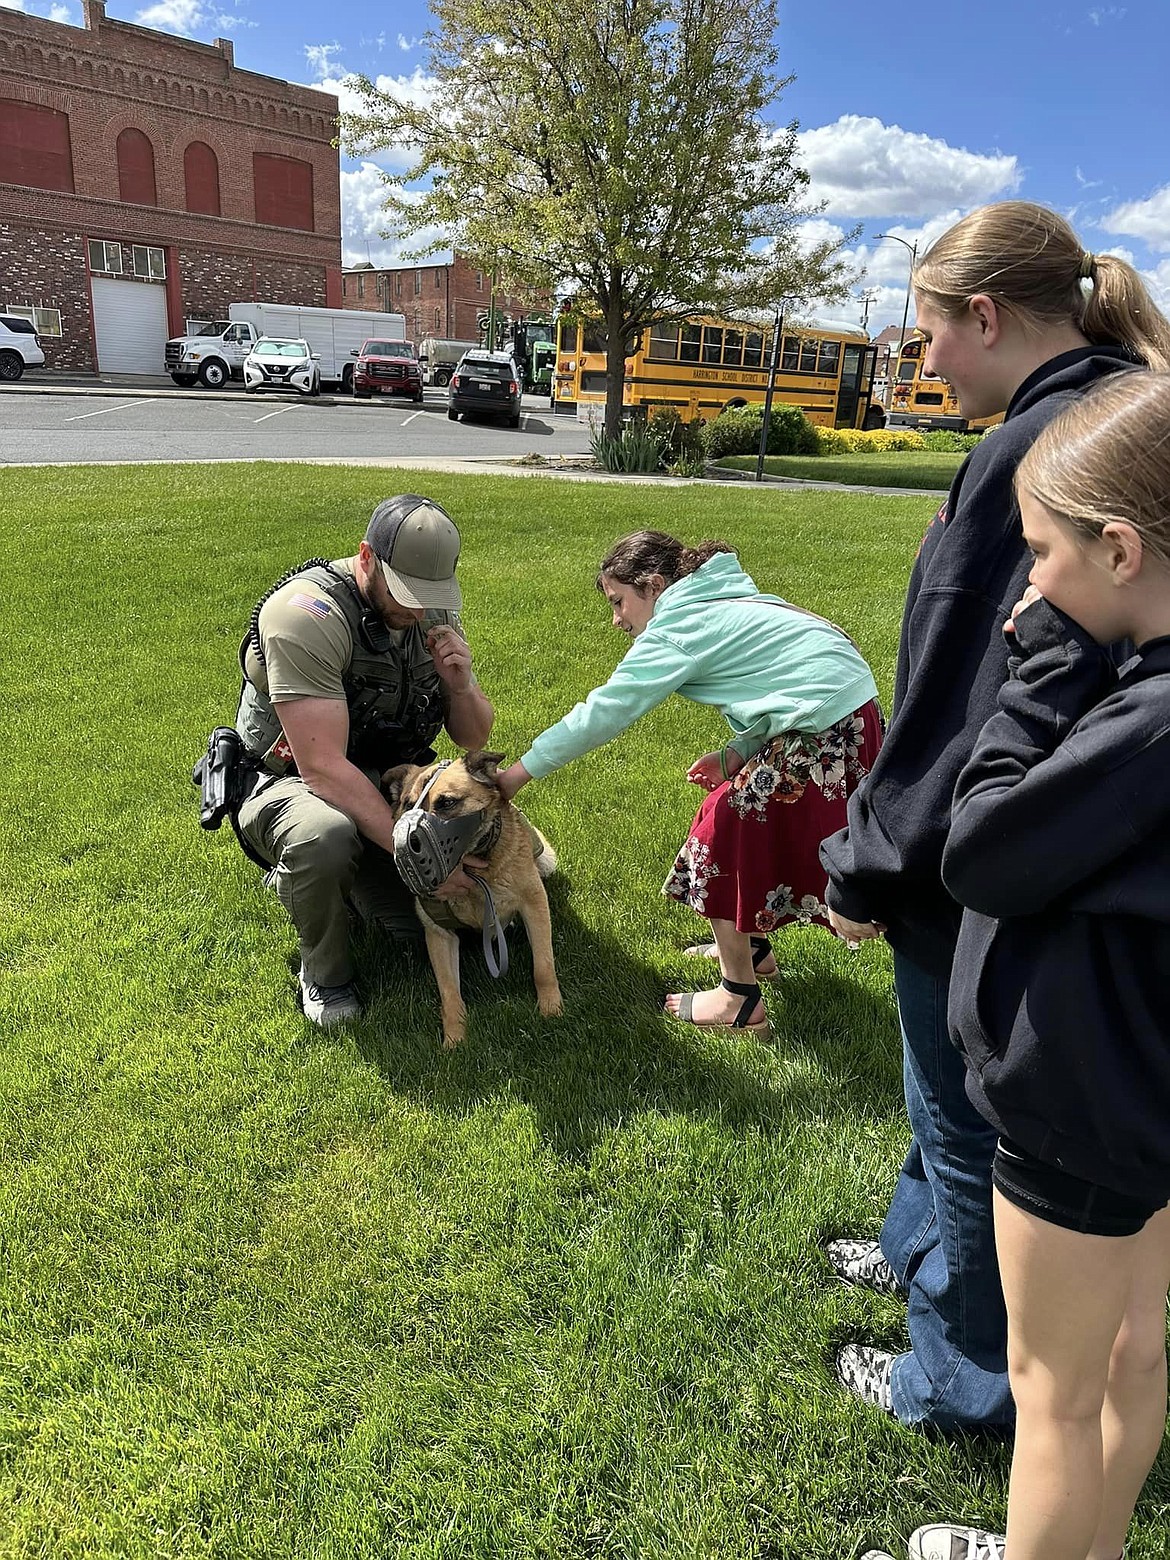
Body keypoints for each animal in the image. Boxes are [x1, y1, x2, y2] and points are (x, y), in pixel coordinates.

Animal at [385, 745, 564, 1048]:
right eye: (408, 804)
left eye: (446, 802)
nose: (407, 844)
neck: (472, 872)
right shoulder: (439, 934)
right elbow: (449, 994)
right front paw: (455, 1040)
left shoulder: (534, 904)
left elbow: (543, 966)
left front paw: (552, 1010)